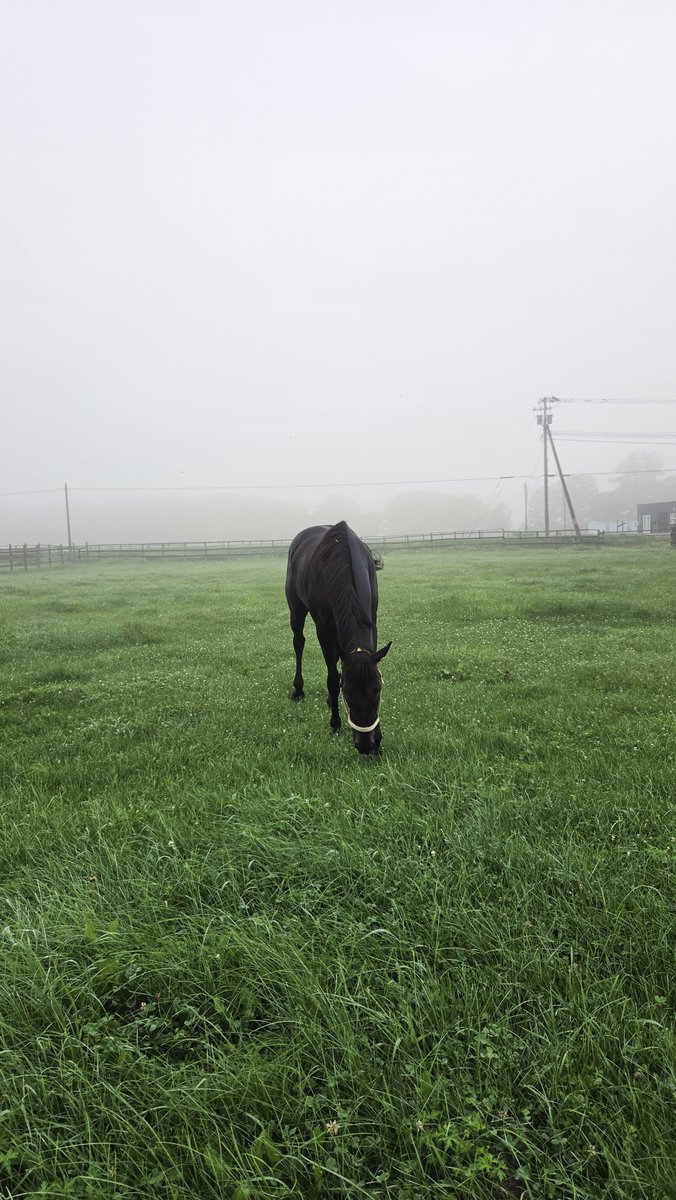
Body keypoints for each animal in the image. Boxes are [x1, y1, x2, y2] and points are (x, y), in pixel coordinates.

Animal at [285, 521, 391, 755]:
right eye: (348, 693)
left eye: (377, 691)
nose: (365, 746)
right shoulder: (323, 629)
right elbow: (332, 677)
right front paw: (335, 724)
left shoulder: (372, 619)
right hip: (296, 609)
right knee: (298, 642)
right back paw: (298, 690)